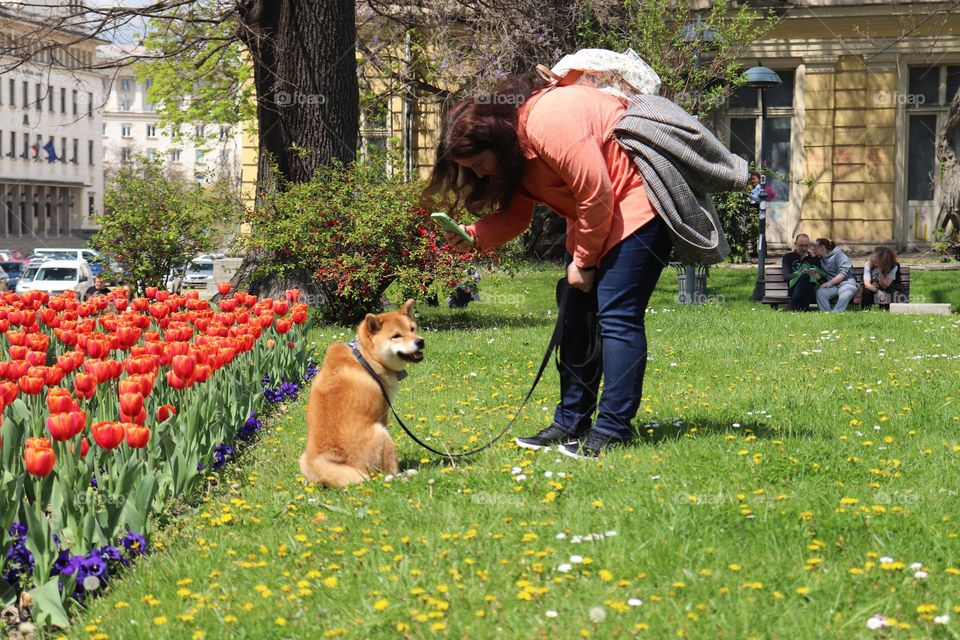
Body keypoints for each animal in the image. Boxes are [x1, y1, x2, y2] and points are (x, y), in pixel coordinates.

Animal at [296, 298, 424, 488]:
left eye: (412, 329)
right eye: (396, 336)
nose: (420, 341)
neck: (365, 358)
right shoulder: (383, 413)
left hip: (304, 459)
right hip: (380, 433)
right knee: (388, 473)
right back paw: (405, 474)